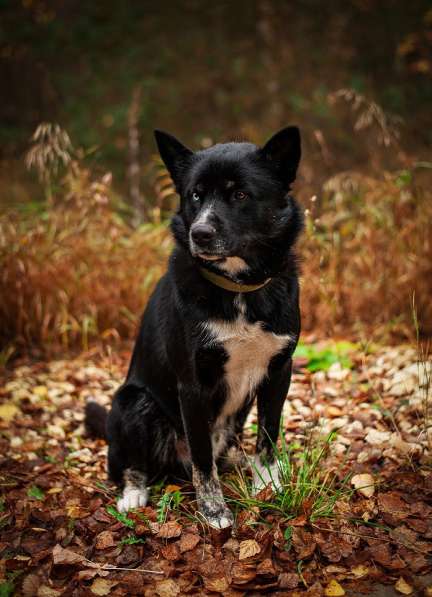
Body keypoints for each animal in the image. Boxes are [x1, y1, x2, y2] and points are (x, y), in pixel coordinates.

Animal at [85, 128, 304, 528]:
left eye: (240, 194)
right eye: (195, 195)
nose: (200, 233)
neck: (237, 287)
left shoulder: (279, 371)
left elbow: (268, 436)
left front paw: (267, 483)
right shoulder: (193, 385)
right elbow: (202, 461)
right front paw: (214, 511)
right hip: (133, 403)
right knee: (132, 465)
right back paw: (134, 493)